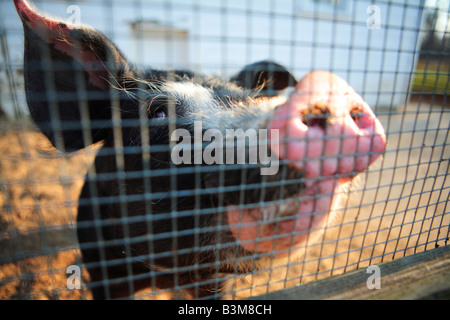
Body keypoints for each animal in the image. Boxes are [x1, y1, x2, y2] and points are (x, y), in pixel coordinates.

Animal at [14, 0, 386, 300]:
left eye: (248, 100)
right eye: (158, 114)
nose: (321, 99)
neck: (165, 273)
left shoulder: (212, 281)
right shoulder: (102, 271)